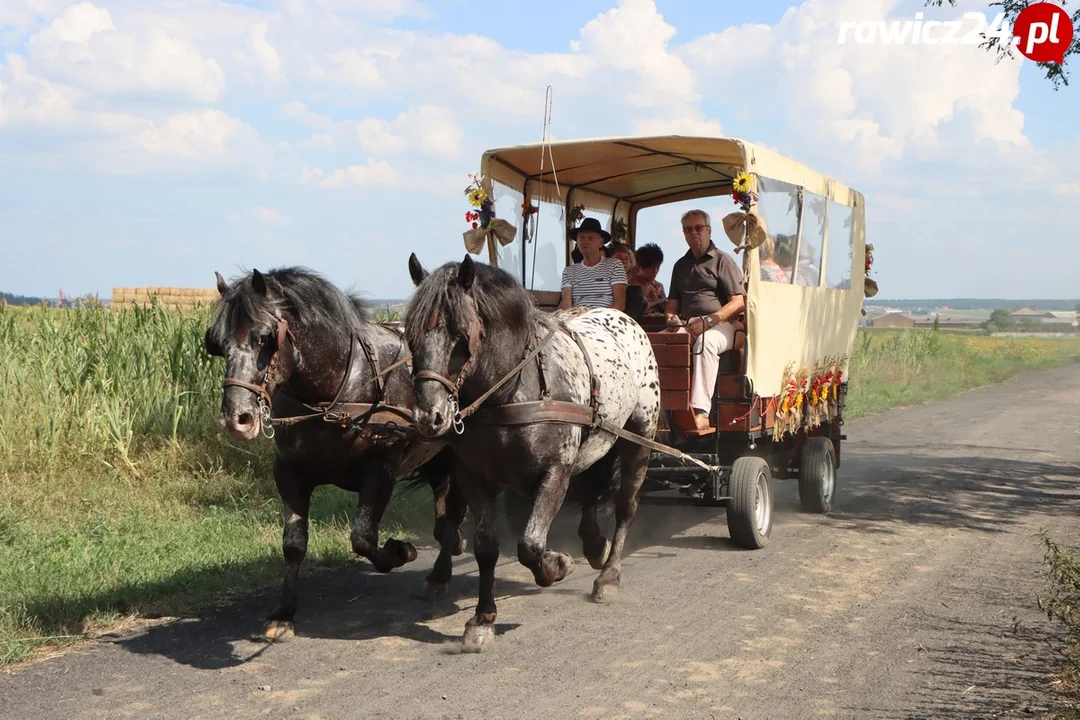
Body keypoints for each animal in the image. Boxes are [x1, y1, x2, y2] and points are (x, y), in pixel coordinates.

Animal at [203, 267, 468, 639]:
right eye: (217, 343)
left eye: (264, 338)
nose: (236, 419)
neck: (335, 393)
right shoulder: (288, 471)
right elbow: (293, 543)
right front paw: (284, 613)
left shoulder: (382, 465)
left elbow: (363, 538)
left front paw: (401, 550)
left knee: (452, 513)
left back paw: (442, 570)